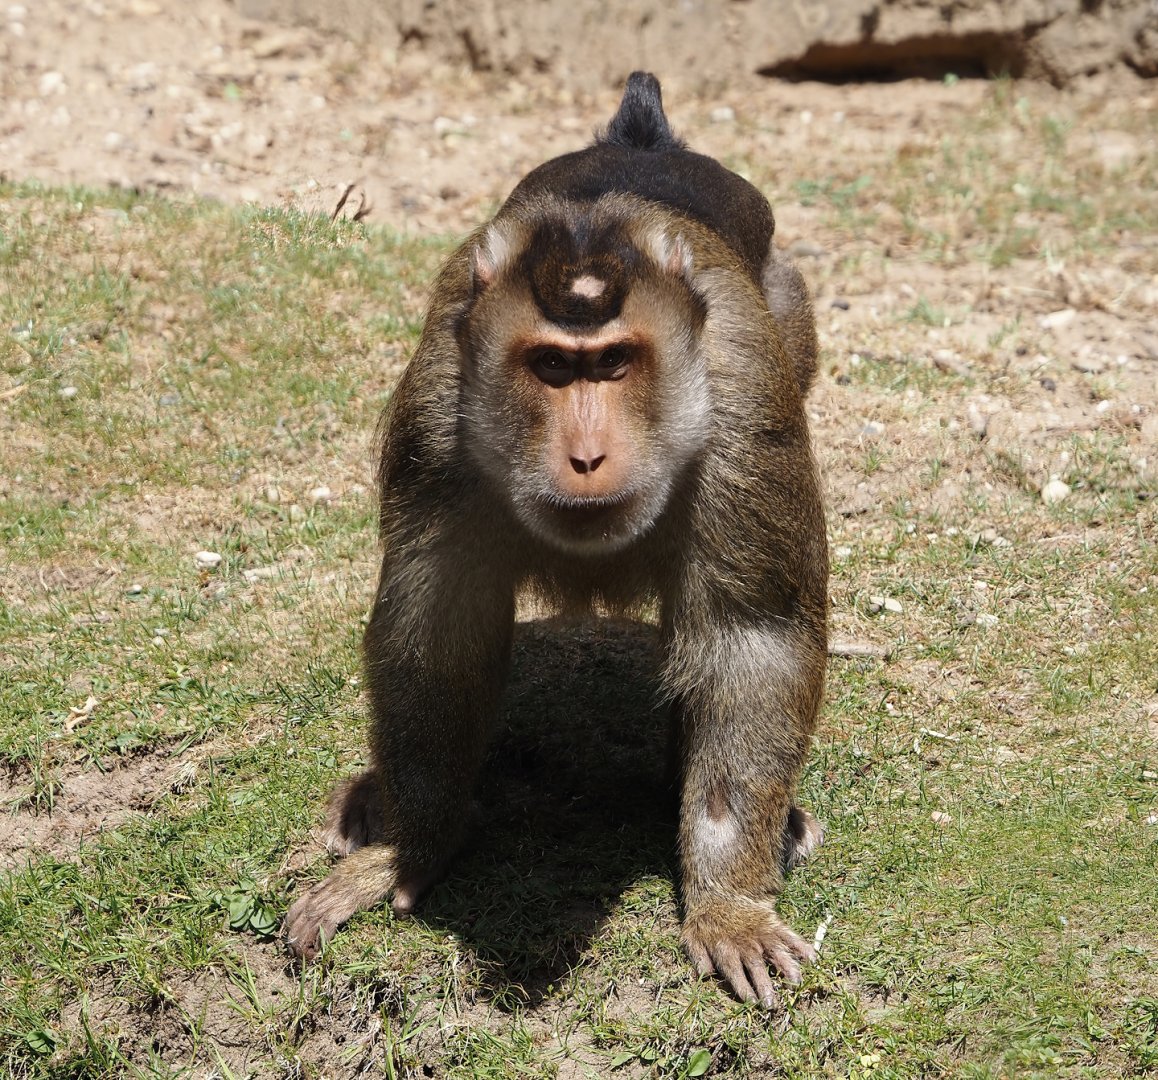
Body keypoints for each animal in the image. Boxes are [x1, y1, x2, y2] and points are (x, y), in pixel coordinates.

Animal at [284, 71, 828, 1008]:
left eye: (612, 364)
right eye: (550, 367)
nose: (585, 455)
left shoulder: (748, 401)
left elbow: (752, 637)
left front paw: (726, 904)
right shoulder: (439, 416)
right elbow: (437, 637)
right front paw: (413, 846)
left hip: (791, 328)